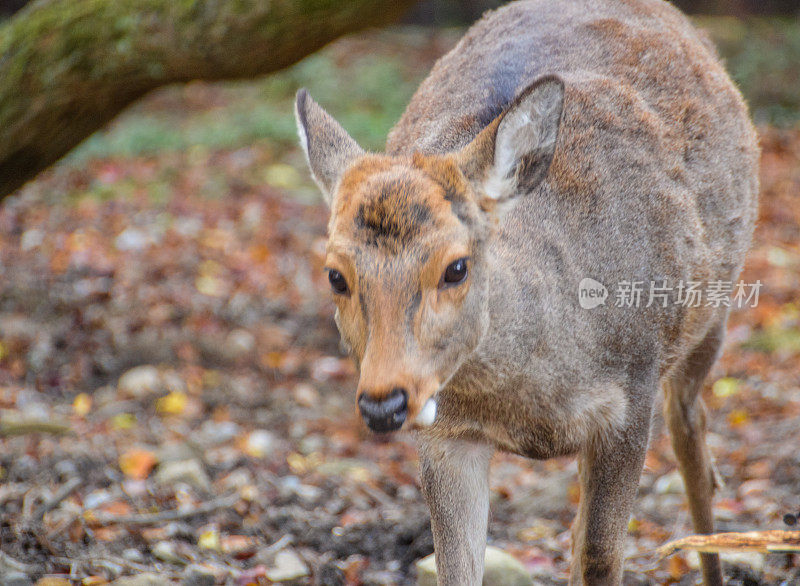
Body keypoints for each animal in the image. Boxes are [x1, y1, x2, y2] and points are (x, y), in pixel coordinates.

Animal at [296, 1, 760, 584]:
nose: (384, 402)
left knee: (690, 427)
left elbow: (602, 555)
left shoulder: (631, 398)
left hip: (712, 312)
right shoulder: (445, 433)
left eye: (456, 267)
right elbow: (457, 564)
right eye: (335, 275)